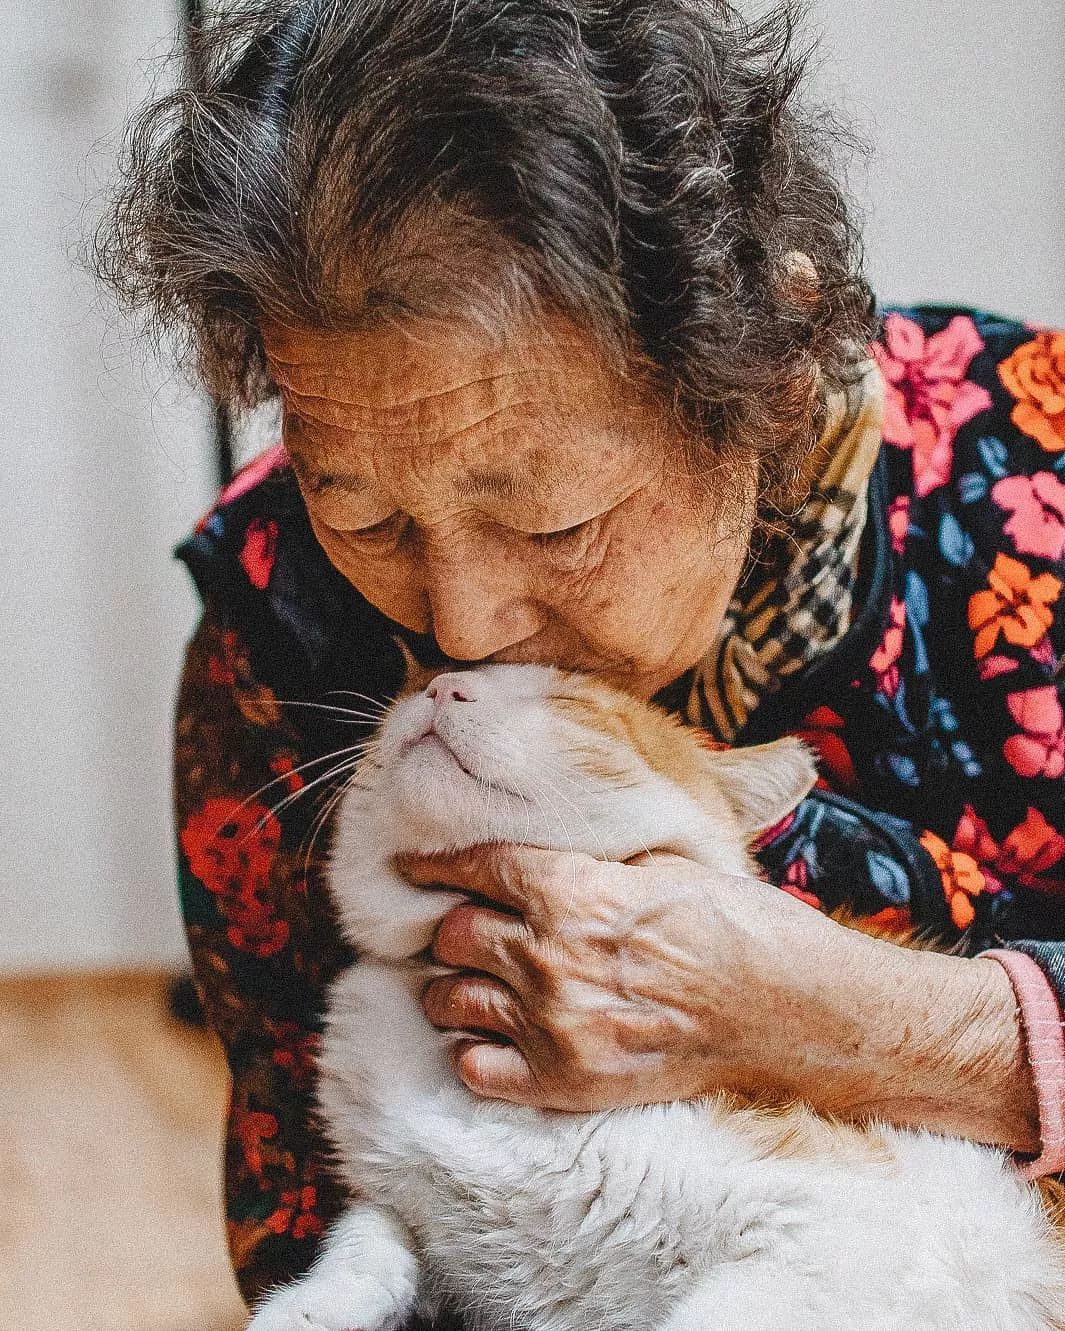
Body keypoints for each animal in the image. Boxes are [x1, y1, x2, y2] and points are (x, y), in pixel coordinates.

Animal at [244, 665, 1059, 1331]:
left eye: (571, 702)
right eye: (424, 681)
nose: (443, 687)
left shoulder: (832, 1242)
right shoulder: (401, 1208)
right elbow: (367, 1243)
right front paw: (305, 1309)